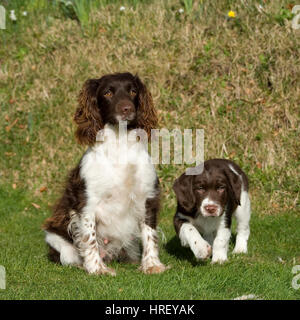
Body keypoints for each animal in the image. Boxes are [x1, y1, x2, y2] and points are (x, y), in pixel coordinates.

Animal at [42, 72, 168, 276]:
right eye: (108, 93)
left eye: (133, 91)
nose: (127, 108)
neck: (120, 145)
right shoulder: (87, 202)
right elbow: (89, 237)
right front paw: (97, 269)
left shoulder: (147, 196)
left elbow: (150, 234)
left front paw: (151, 265)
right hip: (59, 243)